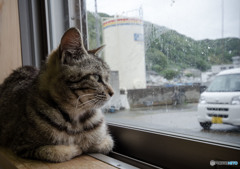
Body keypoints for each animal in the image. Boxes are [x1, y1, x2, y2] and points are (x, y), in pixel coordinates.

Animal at [0, 27, 114, 162]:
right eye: (96, 77)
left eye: (108, 78)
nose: (113, 93)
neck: (75, 119)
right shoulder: (22, 145)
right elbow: (54, 151)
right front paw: (75, 148)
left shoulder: (106, 139)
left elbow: (103, 143)